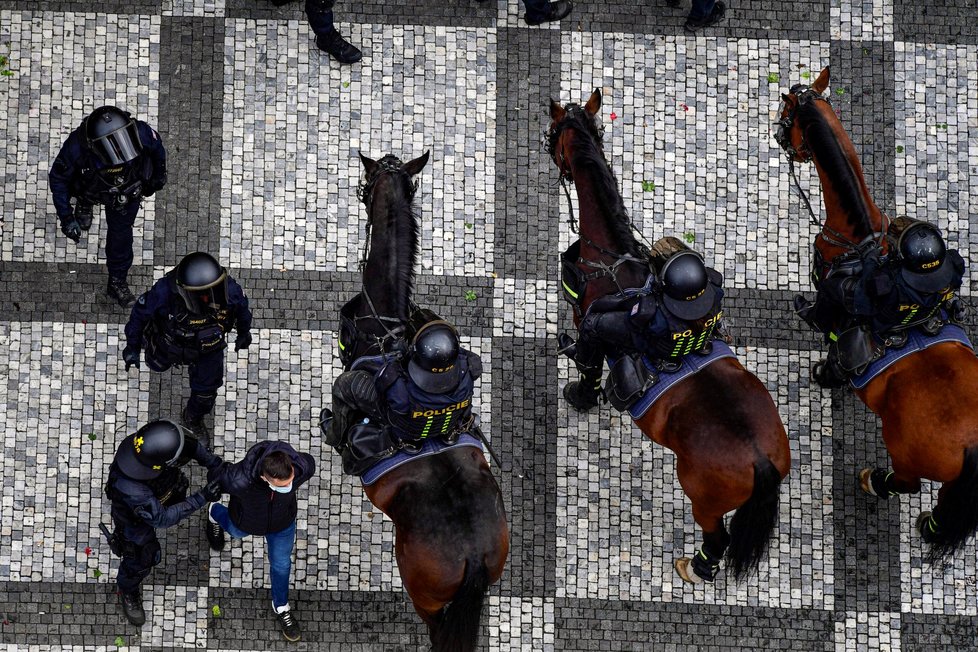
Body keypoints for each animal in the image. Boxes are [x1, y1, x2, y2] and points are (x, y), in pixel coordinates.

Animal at [544, 89, 788, 584]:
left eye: (556, 135)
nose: (548, 149)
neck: (614, 262)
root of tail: (759, 460)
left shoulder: (588, 322)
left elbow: (588, 362)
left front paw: (580, 395)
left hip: (703, 499)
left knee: (717, 538)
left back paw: (696, 568)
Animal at [776, 67, 978, 564]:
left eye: (786, 110)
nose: (779, 138)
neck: (860, 235)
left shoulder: (834, 302)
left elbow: (831, 338)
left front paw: (825, 374)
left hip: (904, 451)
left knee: (906, 484)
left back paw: (874, 481)